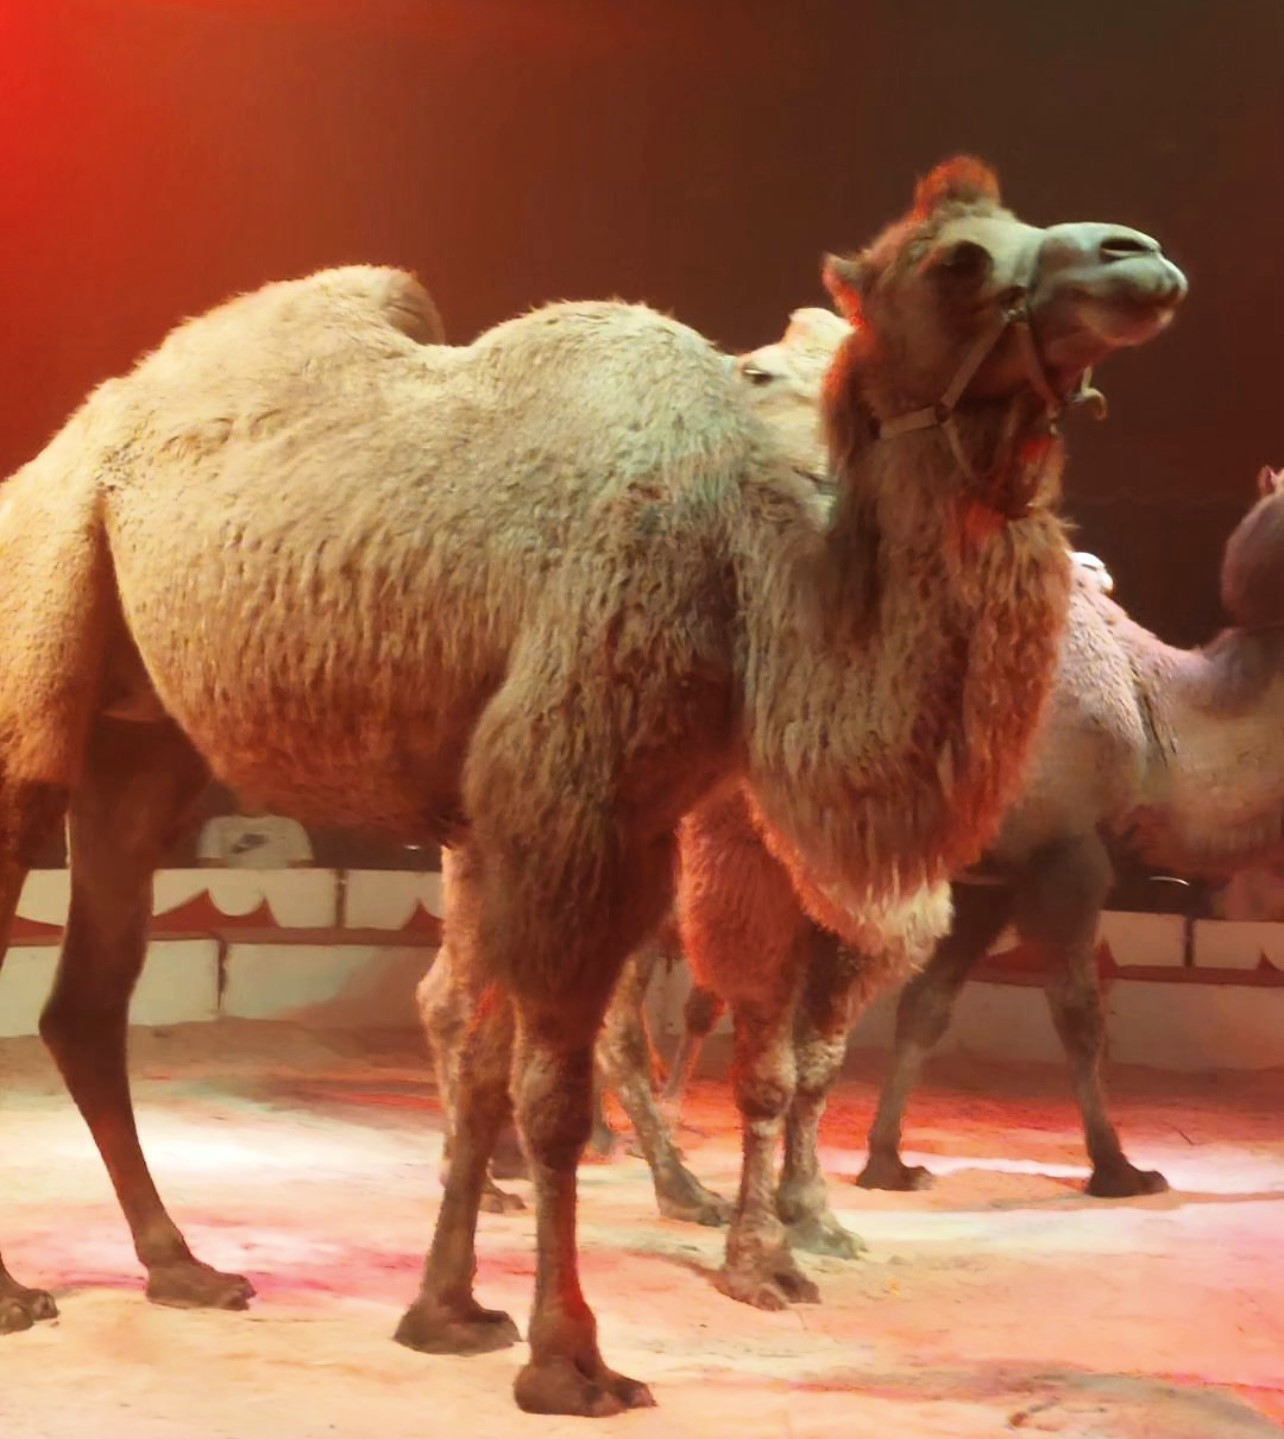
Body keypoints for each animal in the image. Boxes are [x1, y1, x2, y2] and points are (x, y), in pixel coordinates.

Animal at [0, 157, 1185, 1418]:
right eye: (954, 260)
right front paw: (568, 1356)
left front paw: (449, 1312)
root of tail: (54, 456)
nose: (1138, 255)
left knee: (89, 996)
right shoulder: (574, 798)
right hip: (38, 638)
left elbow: (489, 1072)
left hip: (139, 747)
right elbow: (553, 1093)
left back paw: (181, 1265)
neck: (744, 568)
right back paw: (22, 1293)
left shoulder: (553, 816)